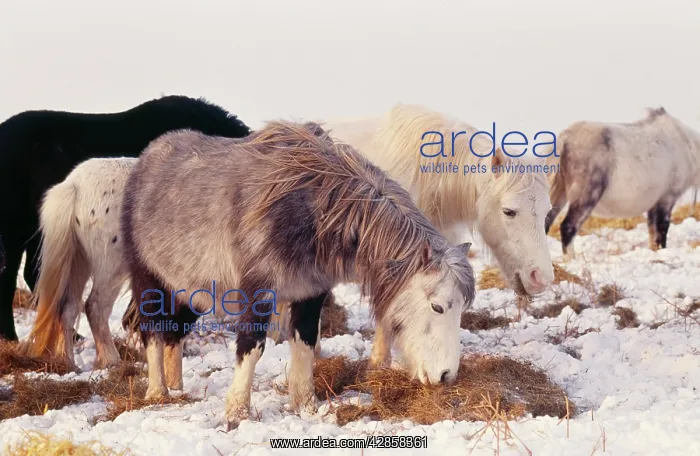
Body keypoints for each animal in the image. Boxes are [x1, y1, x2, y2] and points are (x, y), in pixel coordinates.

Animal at [119, 121, 475, 429]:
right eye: (437, 306)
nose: (447, 376)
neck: (317, 210)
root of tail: (146, 159)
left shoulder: (309, 292)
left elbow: (305, 343)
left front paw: (306, 405)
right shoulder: (258, 291)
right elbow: (252, 346)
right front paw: (237, 412)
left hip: (190, 289)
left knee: (174, 335)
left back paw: (177, 387)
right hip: (150, 282)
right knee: (153, 332)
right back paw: (158, 392)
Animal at [544, 107, 700, 256]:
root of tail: (565, 138)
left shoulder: (654, 203)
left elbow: (652, 230)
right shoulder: (667, 197)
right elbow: (662, 228)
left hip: (559, 193)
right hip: (585, 195)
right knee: (568, 227)